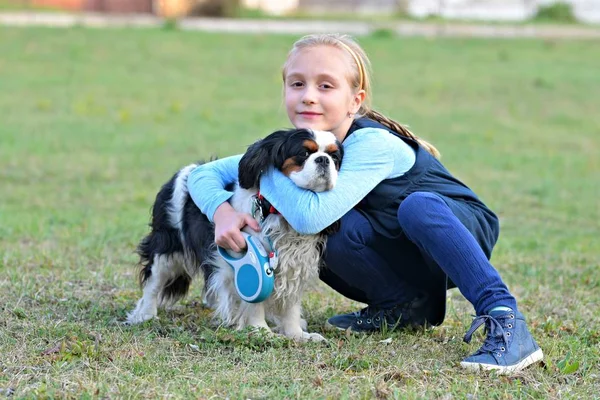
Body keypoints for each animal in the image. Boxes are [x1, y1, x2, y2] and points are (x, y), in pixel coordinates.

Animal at [126, 130, 342, 342]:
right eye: (304, 153)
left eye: (334, 157)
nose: (323, 160)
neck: (277, 212)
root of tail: (185, 171)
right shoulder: (247, 258)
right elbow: (254, 299)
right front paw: (260, 330)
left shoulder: (296, 264)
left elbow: (290, 304)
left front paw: (296, 334)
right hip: (167, 250)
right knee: (154, 282)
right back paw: (145, 314)